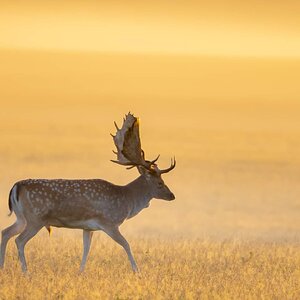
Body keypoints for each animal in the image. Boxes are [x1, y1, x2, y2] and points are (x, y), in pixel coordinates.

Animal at [0, 113, 176, 274]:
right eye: (160, 183)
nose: (172, 196)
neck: (126, 199)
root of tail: (16, 187)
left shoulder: (88, 227)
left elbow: (86, 249)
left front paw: (80, 272)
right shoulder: (109, 222)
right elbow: (126, 244)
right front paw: (137, 271)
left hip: (21, 217)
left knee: (6, 232)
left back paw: (2, 267)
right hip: (35, 218)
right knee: (19, 240)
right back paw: (26, 272)